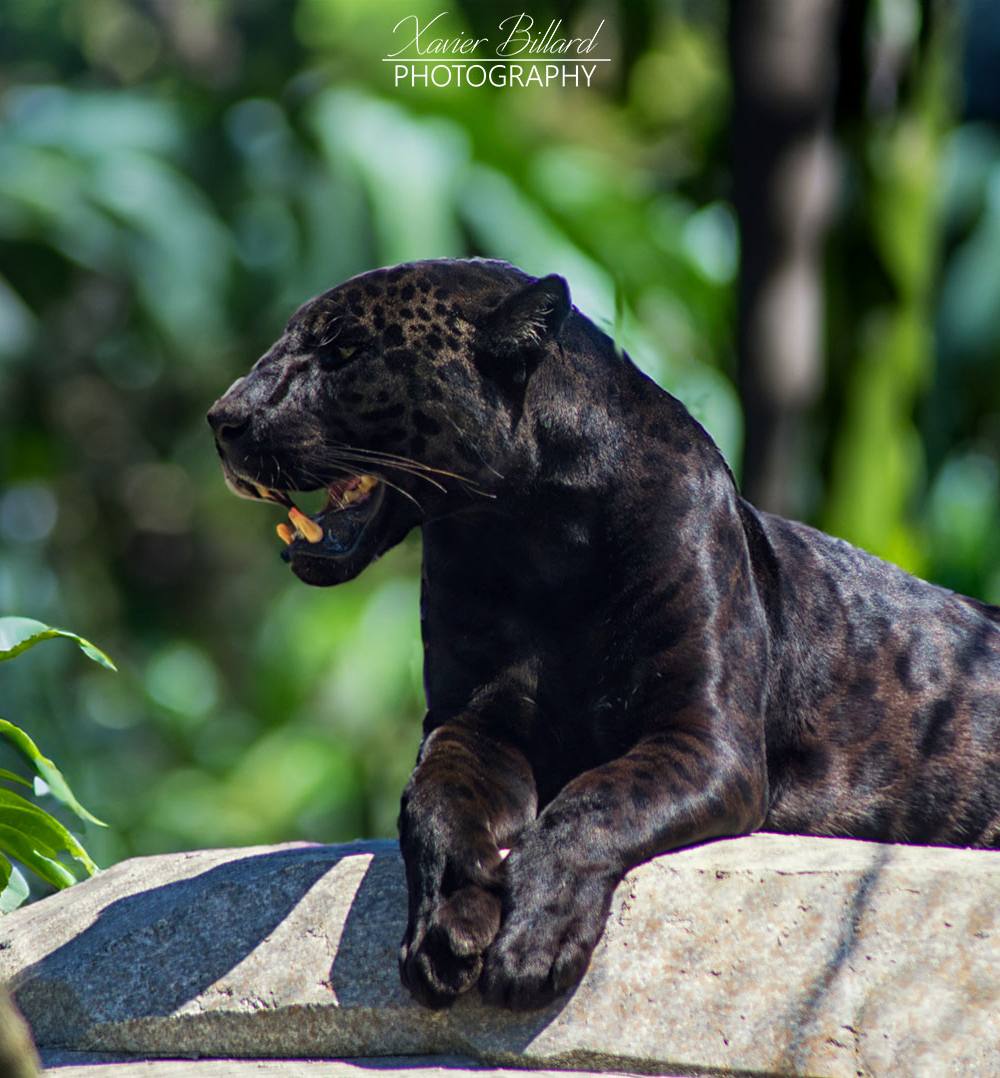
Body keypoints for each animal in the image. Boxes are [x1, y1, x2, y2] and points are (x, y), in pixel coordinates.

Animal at [208, 257, 1000, 1011]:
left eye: (342, 350)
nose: (223, 419)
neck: (526, 540)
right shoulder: (472, 720)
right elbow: (432, 800)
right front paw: (446, 925)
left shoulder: (702, 738)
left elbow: (595, 801)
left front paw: (534, 938)